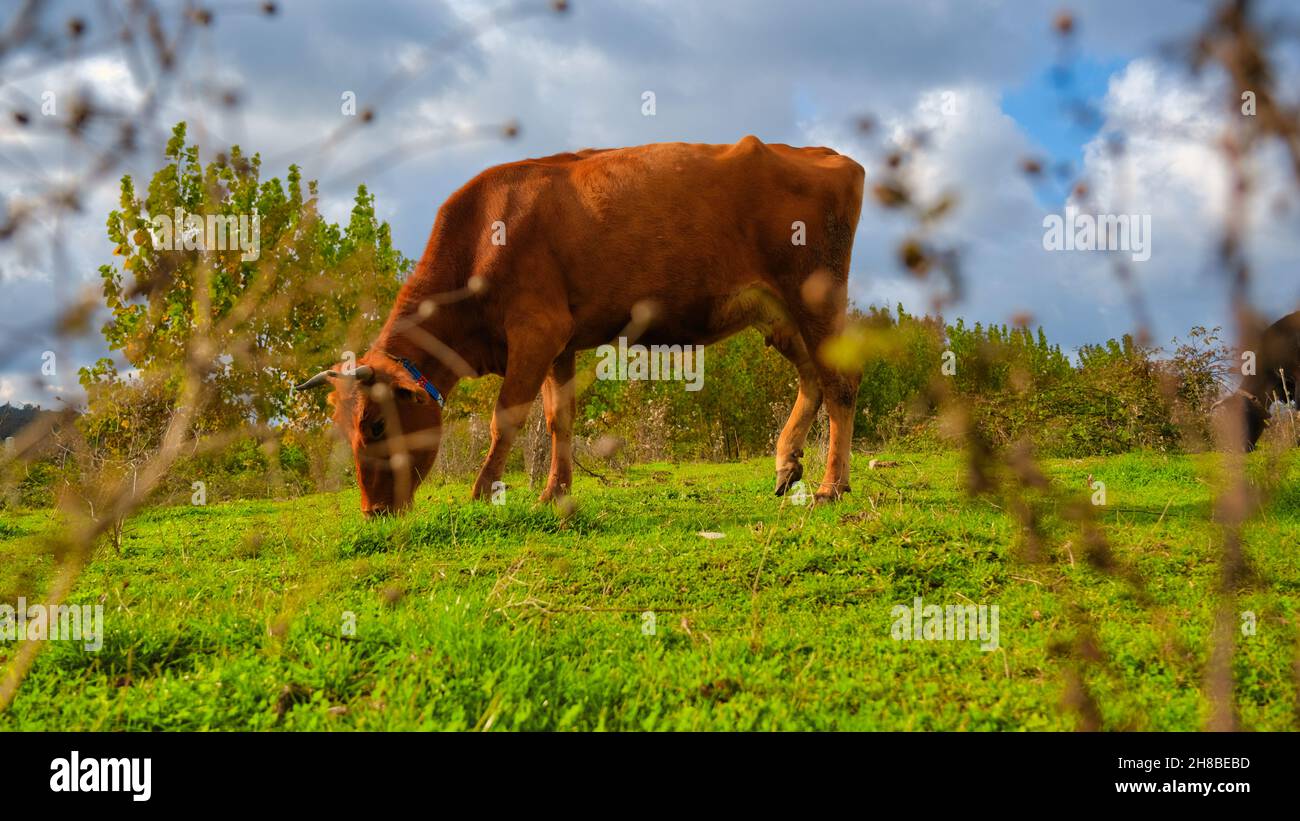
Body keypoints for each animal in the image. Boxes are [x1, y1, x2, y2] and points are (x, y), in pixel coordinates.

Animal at [296, 136, 866, 516]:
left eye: (374, 426)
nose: (373, 512)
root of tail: (826, 154)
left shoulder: (536, 330)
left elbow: (507, 417)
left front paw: (482, 493)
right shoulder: (559, 342)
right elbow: (559, 418)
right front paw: (555, 493)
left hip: (815, 297)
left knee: (840, 382)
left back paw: (831, 487)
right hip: (778, 314)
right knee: (812, 378)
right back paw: (787, 464)